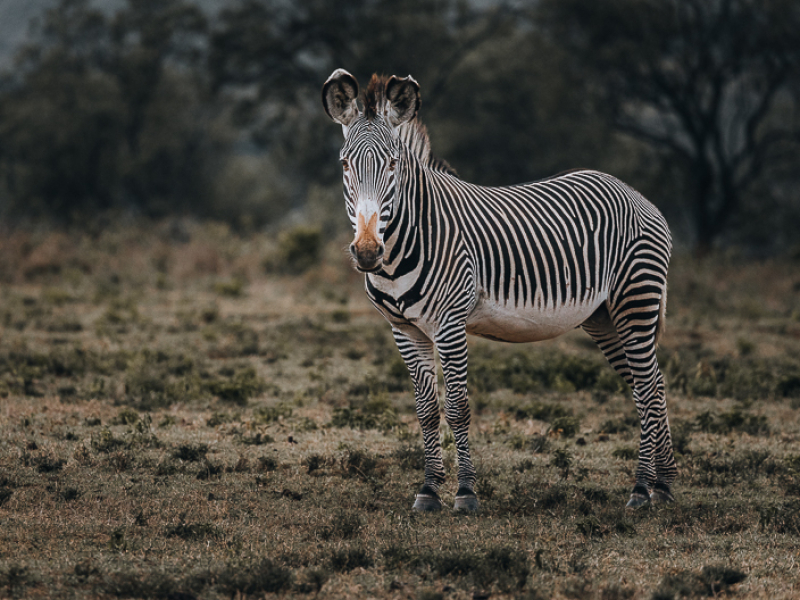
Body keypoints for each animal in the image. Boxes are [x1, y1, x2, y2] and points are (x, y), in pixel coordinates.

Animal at [322, 69, 680, 510]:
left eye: (393, 164)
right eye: (345, 164)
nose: (369, 251)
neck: (413, 234)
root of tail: (634, 194)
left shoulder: (449, 324)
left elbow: (458, 407)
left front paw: (465, 493)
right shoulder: (403, 329)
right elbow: (426, 411)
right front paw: (428, 489)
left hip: (636, 299)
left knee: (646, 388)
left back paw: (641, 489)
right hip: (604, 317)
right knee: (652, 384)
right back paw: (663, 484)